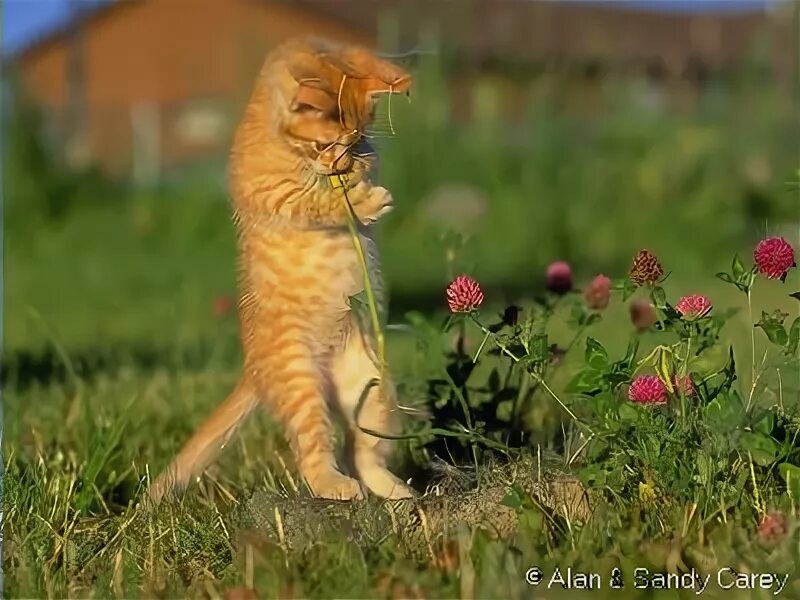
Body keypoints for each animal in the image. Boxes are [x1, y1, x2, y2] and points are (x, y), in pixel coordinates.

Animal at [147, 37, 416, 504]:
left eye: (357, 139)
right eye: (324, 146)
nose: (342, 164)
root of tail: (253, 372)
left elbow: (369, 164)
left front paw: (362, 174)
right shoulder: (273, 193)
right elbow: (317, 202)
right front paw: (359, 199)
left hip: (373, 388)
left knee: (361, 451)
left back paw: (395, 490)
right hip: (300, 383)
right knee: (314, 457)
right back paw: (339, 487)